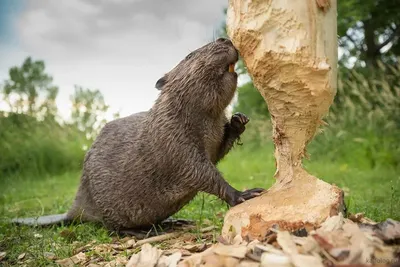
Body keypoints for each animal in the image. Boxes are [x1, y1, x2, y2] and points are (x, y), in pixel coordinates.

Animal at [10, 37, 264, 234]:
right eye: (190, 55)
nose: (225, 39)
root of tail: (75, 209)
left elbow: (217, 152)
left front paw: (238, 120)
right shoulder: (172, 137)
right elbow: (198, 171)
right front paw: (244, 194)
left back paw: (174, 221)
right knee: (112, 228)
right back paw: (142, 231)